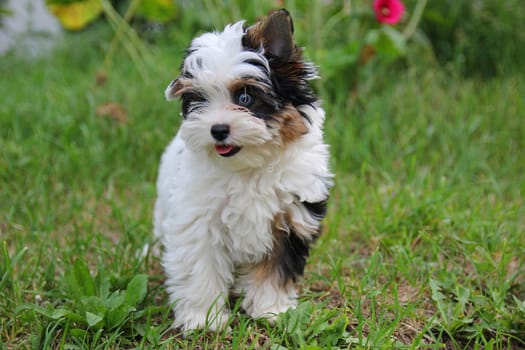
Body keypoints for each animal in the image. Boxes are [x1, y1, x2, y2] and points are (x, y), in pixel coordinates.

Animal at [152, 8, 332, 330]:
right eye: (200, 101)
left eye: (245, 98)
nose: (218, 129)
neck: (250, 166)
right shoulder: (197, 221)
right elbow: (200, 268)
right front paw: (204, 319)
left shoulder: (291, 218)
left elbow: (275, 269)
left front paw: (272, 310)